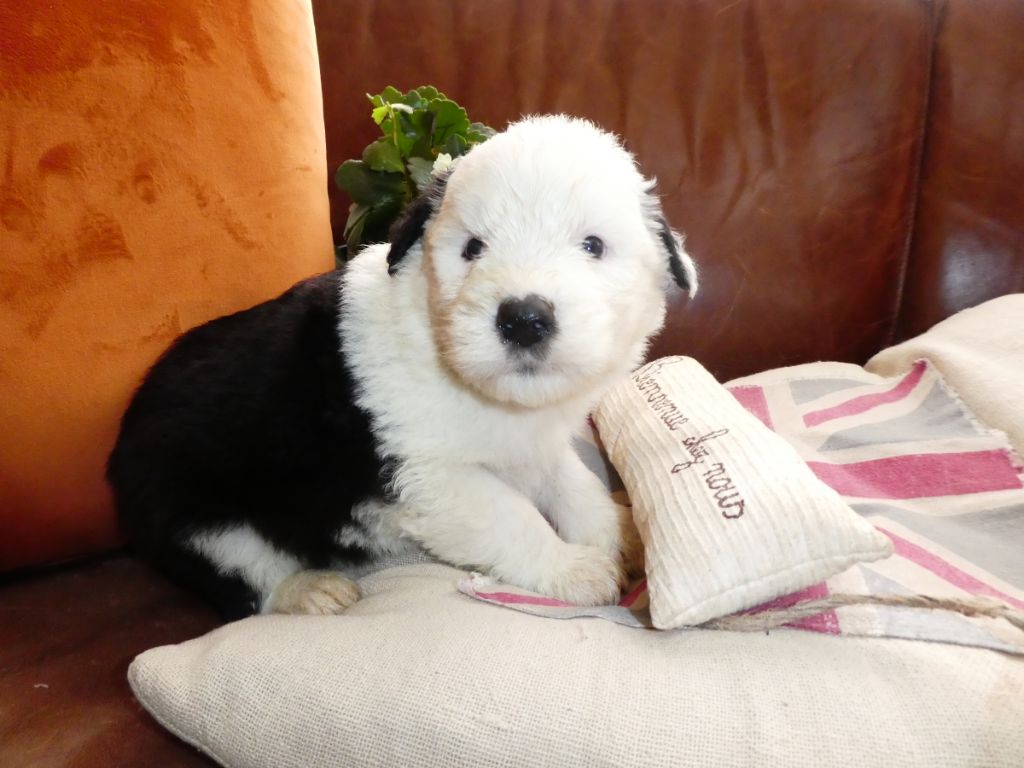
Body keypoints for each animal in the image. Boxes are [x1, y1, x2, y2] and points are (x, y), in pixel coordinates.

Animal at [107, 115, 697, 620]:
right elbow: (512, 515)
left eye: (593, 246)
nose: (524, 320)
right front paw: (573, 568)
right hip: (199, 517)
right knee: (247, 576)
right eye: (473, 248)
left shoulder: (538, 444)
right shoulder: (431, 476)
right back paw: (311, 589)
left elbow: (575, 485)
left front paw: (618, 534)